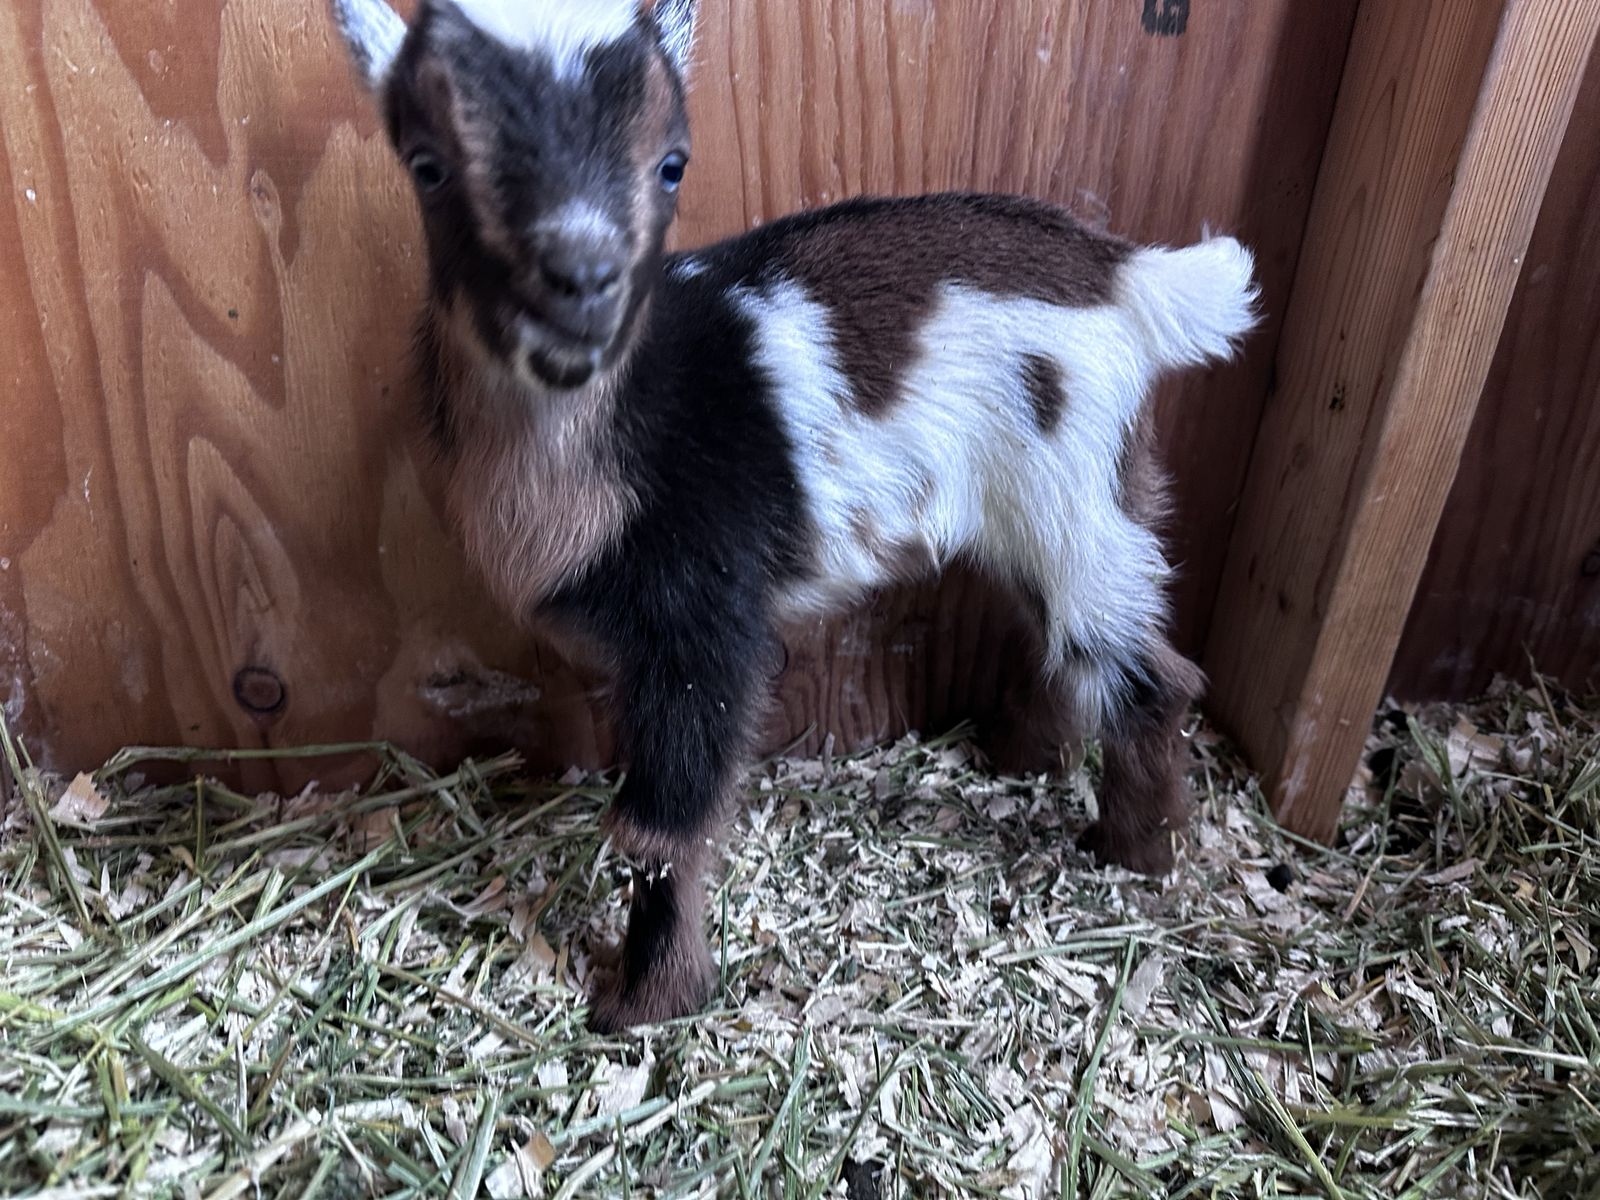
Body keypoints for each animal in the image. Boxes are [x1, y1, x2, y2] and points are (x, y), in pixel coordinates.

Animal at [331, 0, 1259, 1031]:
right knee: (1064, 645)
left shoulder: (707, 620)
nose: (583, 280)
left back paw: (1136, 851)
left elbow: (660, 824)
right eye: (427, 163)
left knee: (1149, 673)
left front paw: (646, 1001)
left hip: (1080, 497)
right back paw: (1019, 762)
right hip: (1042, 513)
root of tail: (1128, 275)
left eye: (673, 161)